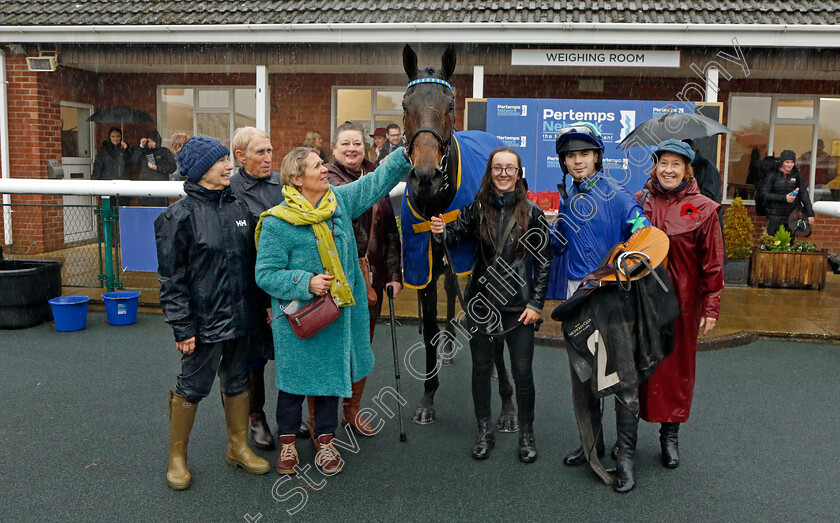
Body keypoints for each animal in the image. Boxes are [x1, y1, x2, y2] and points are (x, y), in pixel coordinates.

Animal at [402, 45, 520, 430]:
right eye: (405, 104)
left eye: (451, 105)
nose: (425, 175)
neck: (437, 203)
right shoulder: (422, 267)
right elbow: (428, 332)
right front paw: (427, 398)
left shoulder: (479, 269)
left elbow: (492, 331)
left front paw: (508, 406)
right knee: (451, 290)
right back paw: (450, 348)